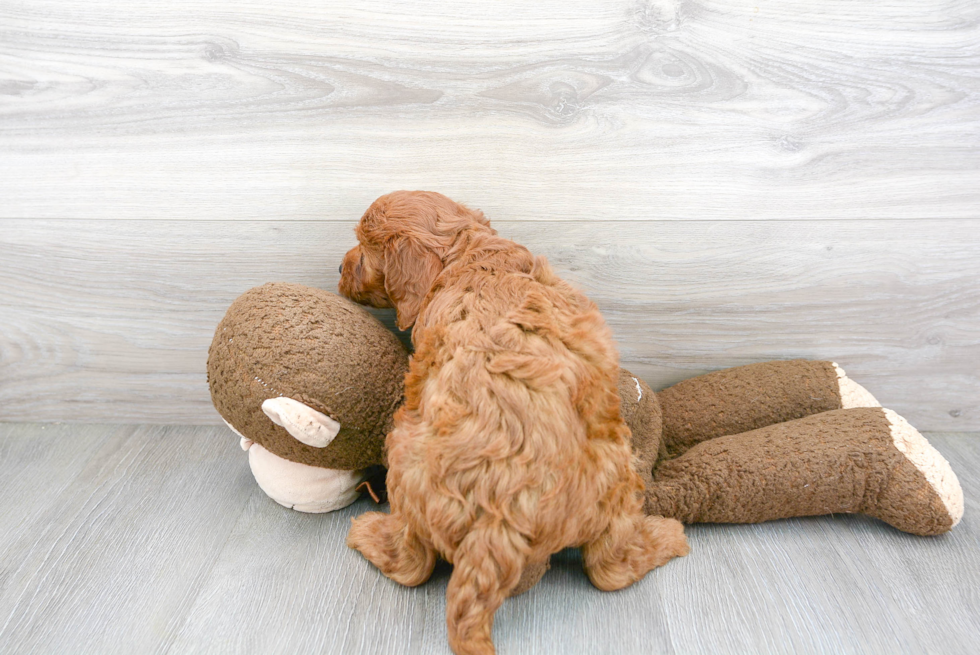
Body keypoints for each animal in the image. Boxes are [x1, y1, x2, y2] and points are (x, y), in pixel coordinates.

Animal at [336, 191, 688, 655]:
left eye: (363, 249)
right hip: (616, 468)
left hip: (404, 452)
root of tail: (498, 519)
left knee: (412, 562)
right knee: (609, 567)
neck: (470, 252)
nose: (338, 268)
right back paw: (668, 535)